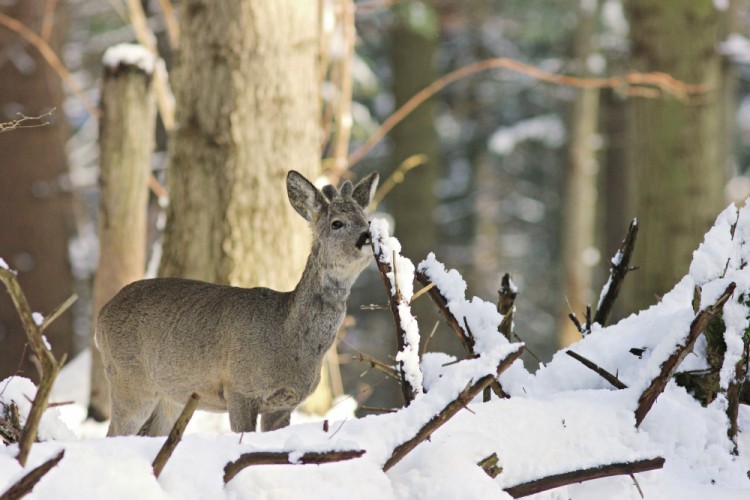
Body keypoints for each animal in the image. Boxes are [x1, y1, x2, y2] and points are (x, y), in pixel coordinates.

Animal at [98, 170, 382, 436]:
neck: (286, 335)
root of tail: (101, 315)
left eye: (366, 219)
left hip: (169, 397)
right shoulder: (240, 389)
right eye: (337, 223)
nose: (368, 236)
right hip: (129, 380)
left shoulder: (284, 403)